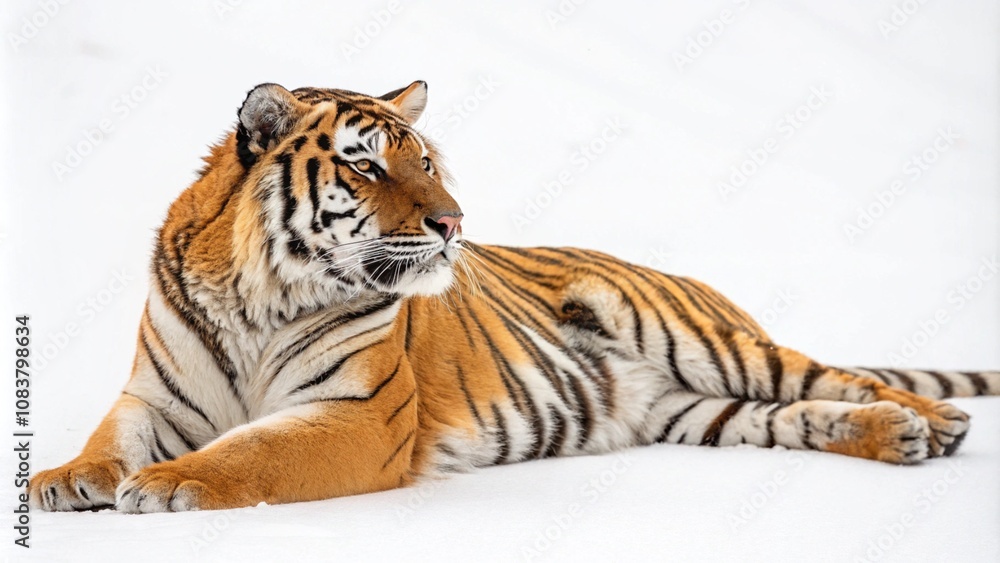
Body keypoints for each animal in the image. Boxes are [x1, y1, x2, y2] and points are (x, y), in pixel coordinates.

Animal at [29, 81, 1000, 513]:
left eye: (427, 161)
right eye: (367, 164)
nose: (455, 221)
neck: (259, 296)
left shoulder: (359, 416)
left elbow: (252, 454)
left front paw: (168, 484)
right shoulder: (154, 396)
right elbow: (108, 439)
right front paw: (63, 479)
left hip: (701, 339)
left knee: (837, 374)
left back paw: (937, 423)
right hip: (692, 408)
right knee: (799, 412)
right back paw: (899, 435)